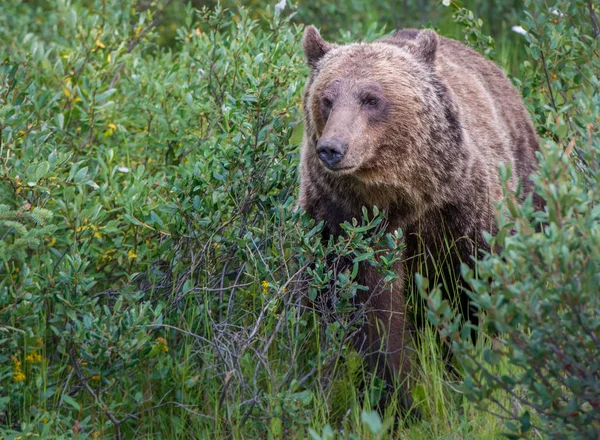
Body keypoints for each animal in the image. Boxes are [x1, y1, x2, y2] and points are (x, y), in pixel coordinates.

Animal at [298, 25, 540, 408]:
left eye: (371, 98)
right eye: (327, 98)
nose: (332, 148)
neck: (401, 193)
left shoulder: (460, 209)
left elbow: (473, 289)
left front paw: (468, 365)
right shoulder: (345, 220)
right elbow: (369, 308)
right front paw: (399, 391)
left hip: (526, 172)